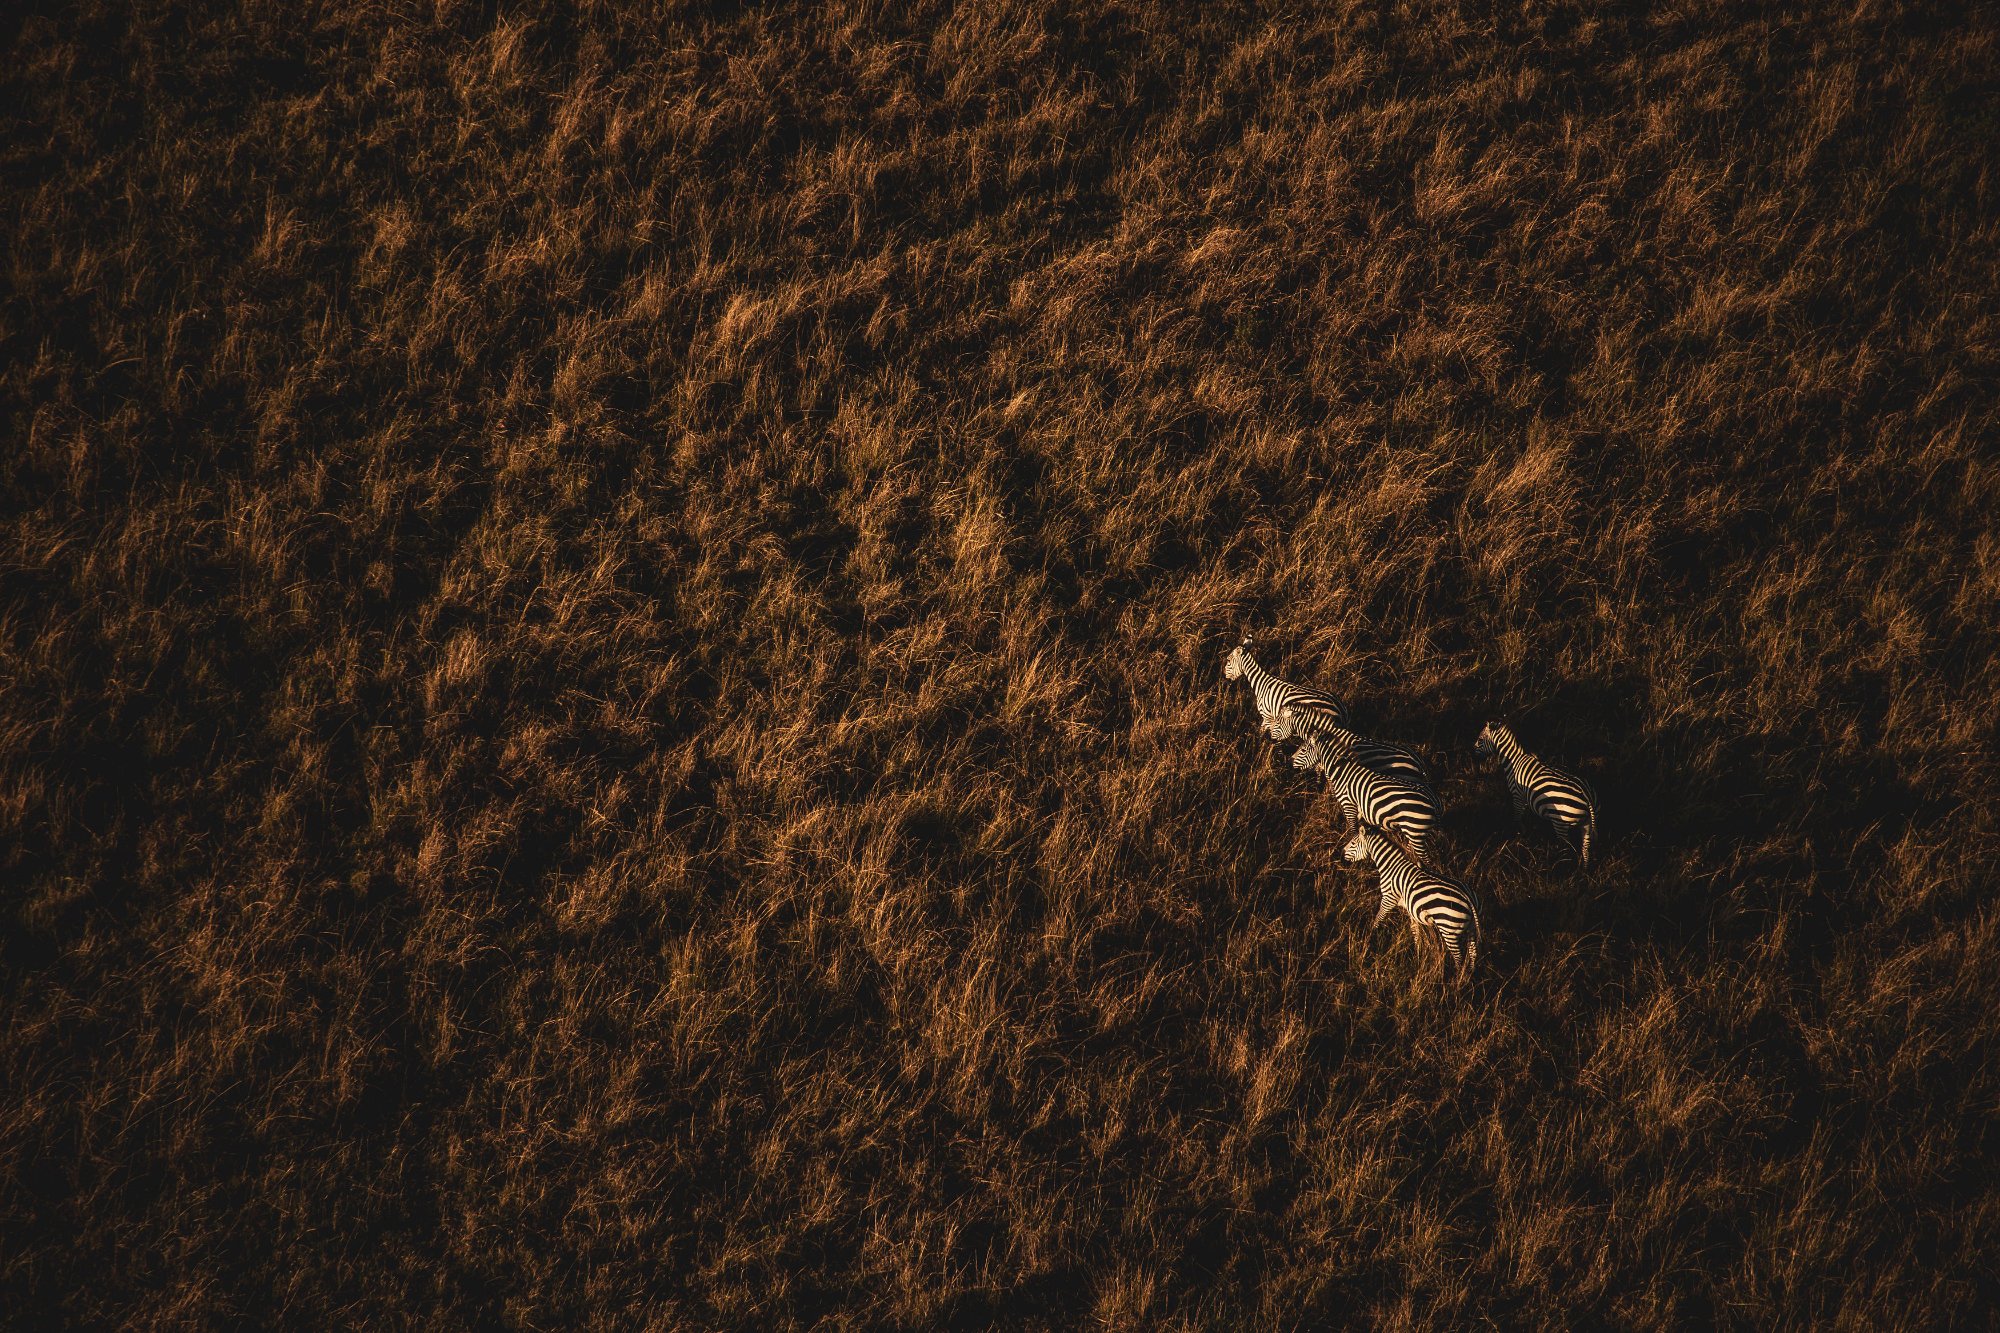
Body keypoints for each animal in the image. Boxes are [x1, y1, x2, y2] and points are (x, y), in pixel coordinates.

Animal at [1222, 636, 1352, 738]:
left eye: (1228, 660)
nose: (1224, 678)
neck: (1261, 683)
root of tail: (1342, 711)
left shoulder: (1267, 717)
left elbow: (1262, 734)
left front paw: (1259, 747)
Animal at [1343, 825, 1483, 973]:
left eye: (1353, 843)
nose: (1341, 855)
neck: (1390, 865)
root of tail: (1468, 898)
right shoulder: (1411, 908)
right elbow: (1415, 931)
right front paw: (1418, 955)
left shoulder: (1388, 898)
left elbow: (1377, 920)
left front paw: (1370, 938)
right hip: (1471, 927)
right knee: (1473, 953)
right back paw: (1469, 976)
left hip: (1449, 929)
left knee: (1459, 959)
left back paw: (1455, 977)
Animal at [1474, 721, 1598, 868]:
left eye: (1480, 739)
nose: (1473, 756)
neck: (1513, 761)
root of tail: (1587, 798)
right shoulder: (1526, 797)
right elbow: (1525, 815)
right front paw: (1525, 832)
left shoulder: (1517, 796)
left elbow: (1517, 816)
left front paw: (1518, 834)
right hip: (1586, 824)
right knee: (1585, 849)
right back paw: (1583, 870)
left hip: (1561, 822)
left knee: (1567, 847)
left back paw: (1561, 865)